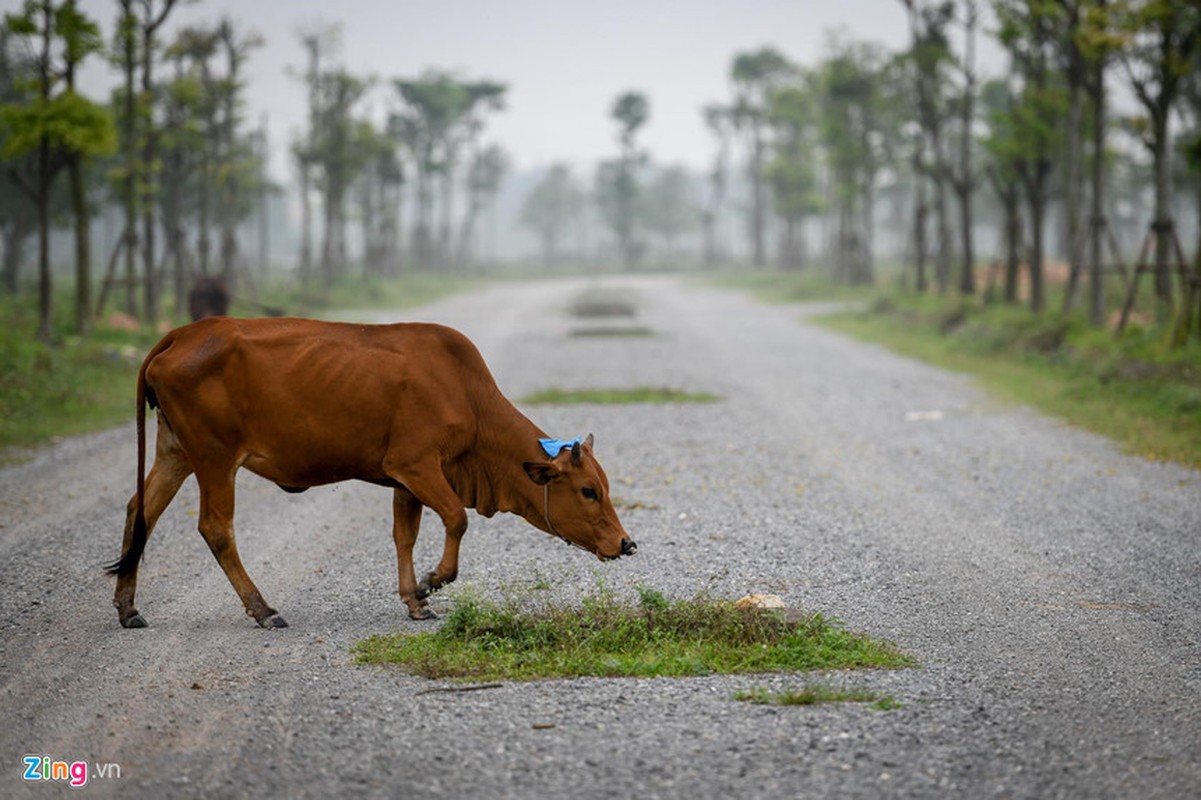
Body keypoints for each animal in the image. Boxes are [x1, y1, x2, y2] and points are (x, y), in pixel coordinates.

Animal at [103, 314, 638, 624]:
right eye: (589, 490)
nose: (626, 544)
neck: (467, 394)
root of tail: (182, 333)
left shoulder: (405, 478)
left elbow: (405, 536)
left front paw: (415, 599)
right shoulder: (418, 465)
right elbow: (456, 519)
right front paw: (432, 581)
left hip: (175, 452)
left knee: (139, 511)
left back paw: (128, 607)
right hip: (215, 459)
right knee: (215, 528)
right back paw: (263, 609)